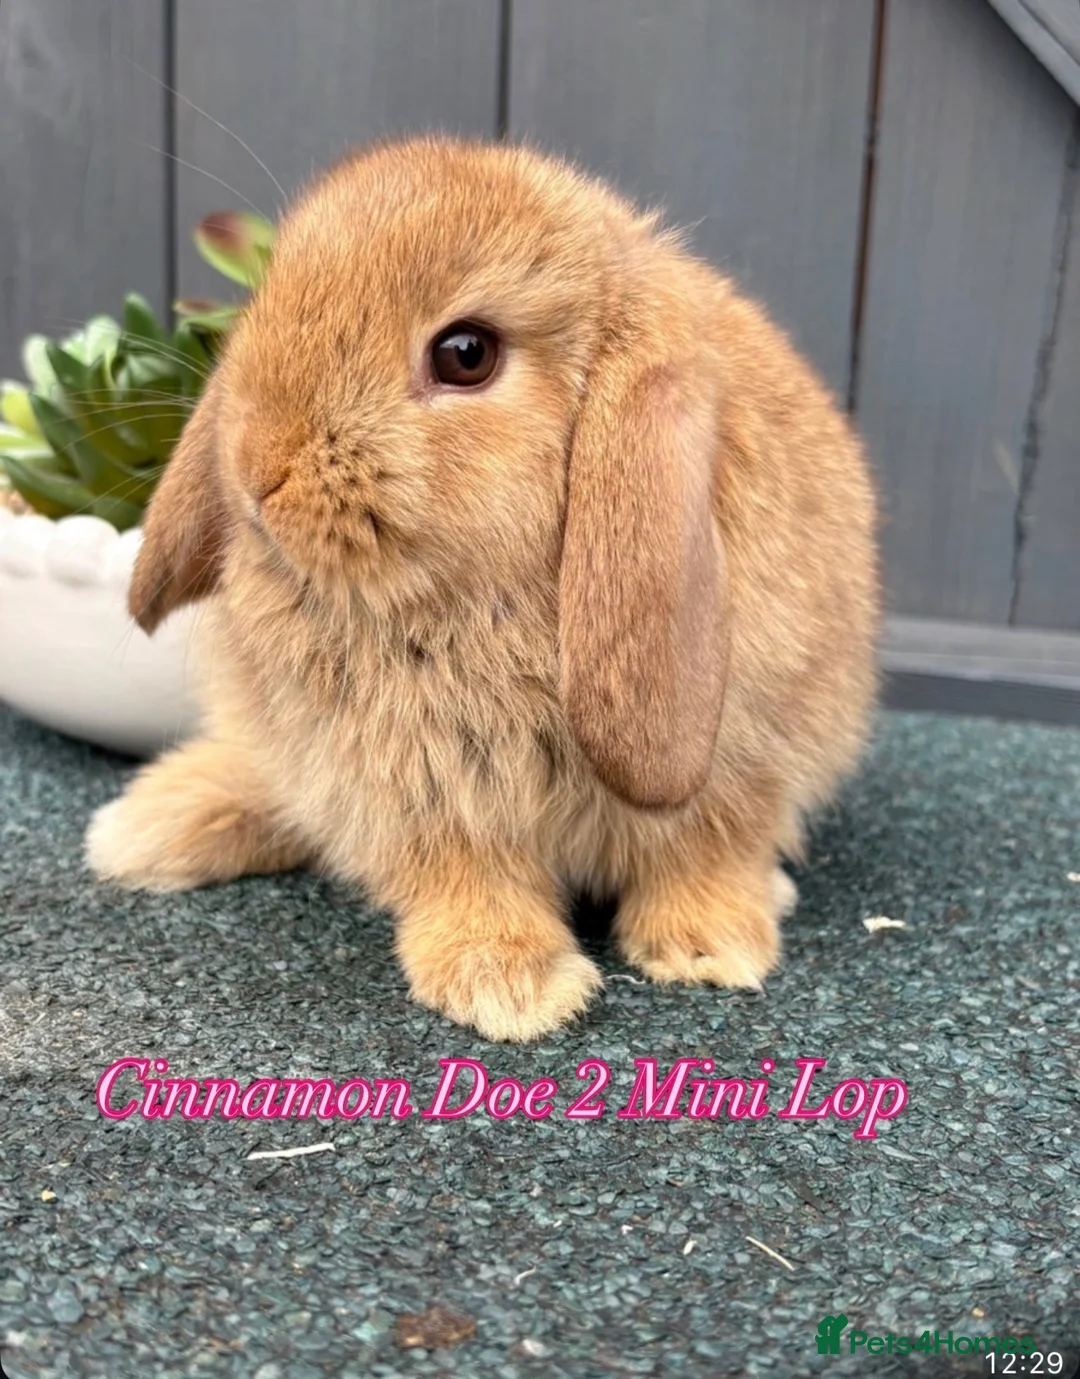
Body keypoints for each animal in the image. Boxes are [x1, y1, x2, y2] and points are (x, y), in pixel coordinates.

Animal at [86, 136, 879, 1042]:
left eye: (466, 354)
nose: (255, 466)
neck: (468, 606)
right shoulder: (430, 802)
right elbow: (469, 876)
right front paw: (511, 985)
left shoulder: (739, 771)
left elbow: (702, 851)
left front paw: (710, 948)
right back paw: (145, 828)